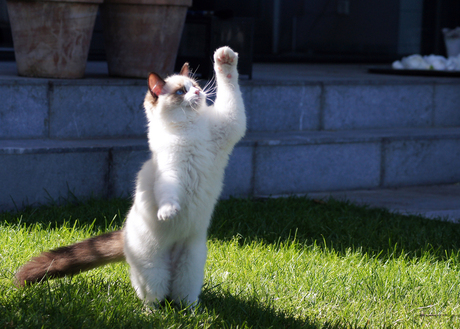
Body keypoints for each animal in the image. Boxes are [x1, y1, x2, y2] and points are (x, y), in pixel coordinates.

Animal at [14, 47, 246, 306]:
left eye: (195, 85)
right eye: (181, 91)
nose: (198, 92)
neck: (191, 129)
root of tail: (124, 234)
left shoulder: (230, 124)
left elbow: (229, 83)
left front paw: (225, 58)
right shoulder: (170, 171)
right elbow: (169, 194)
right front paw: (168, 213)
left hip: (191, 265)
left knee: (183, 297)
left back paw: (192, 312)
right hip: (154, 269)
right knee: (154, 295)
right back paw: (153, 312)